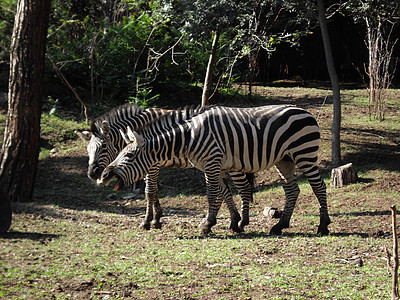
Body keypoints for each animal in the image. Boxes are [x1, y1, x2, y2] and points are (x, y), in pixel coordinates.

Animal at [76, 104, 253, 233]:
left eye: (104, 147)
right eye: (88, 150)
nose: (92, 174)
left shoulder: (152, 164)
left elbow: (150, 191)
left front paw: (148, 221)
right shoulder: (147, 163)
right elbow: (153, 191)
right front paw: (156, 218)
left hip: (230, 162)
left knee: (243, 187)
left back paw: (239, 221)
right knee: (225, 190)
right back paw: (233, 220)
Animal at [99, 104, 332, 236]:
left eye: (129, 156)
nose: (103, 175)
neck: (189, 138)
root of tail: (307, 112)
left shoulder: (212, 162)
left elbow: (212, 194)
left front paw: (207, 224)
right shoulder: (212, 165)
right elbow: (222, 194)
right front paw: (232, 222)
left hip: (304, 154)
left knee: (319, 187)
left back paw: (323, 226)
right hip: (284, 159)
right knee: (292, 190)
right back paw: (280, 225)